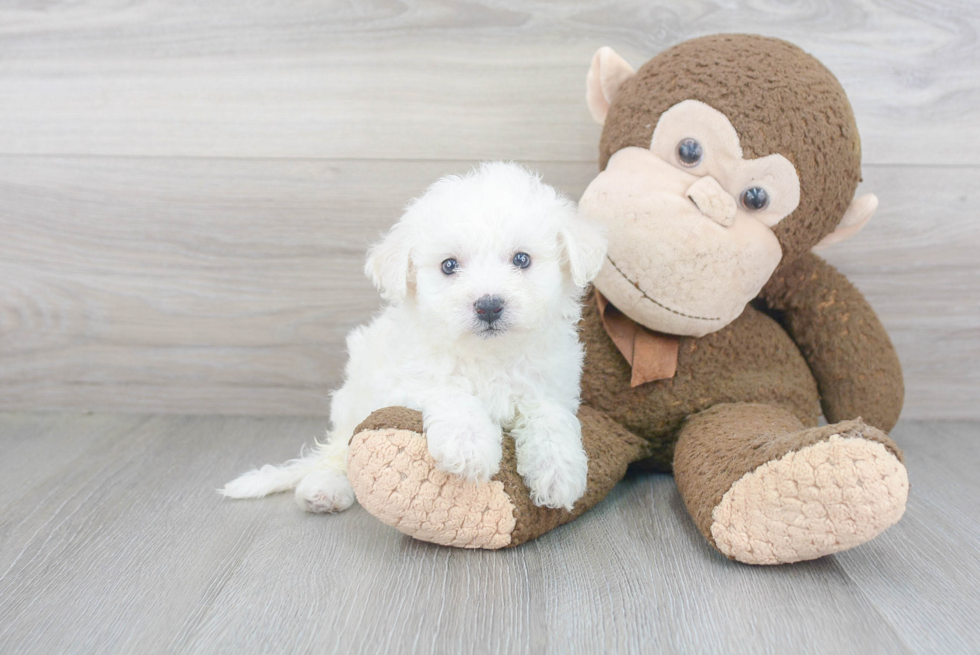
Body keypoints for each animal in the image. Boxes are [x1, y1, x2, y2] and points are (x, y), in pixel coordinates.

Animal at [222, 163, 604, 512]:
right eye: (449, 265)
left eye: (522, 259)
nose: (489, 306)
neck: (487, 356)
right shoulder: (406, 379)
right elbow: (449, 391)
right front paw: (468, 445)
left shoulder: (550, 385)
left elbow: (551, 416)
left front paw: (558, 472)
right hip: (351, 403)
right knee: (338, 450)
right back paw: (325, 488)